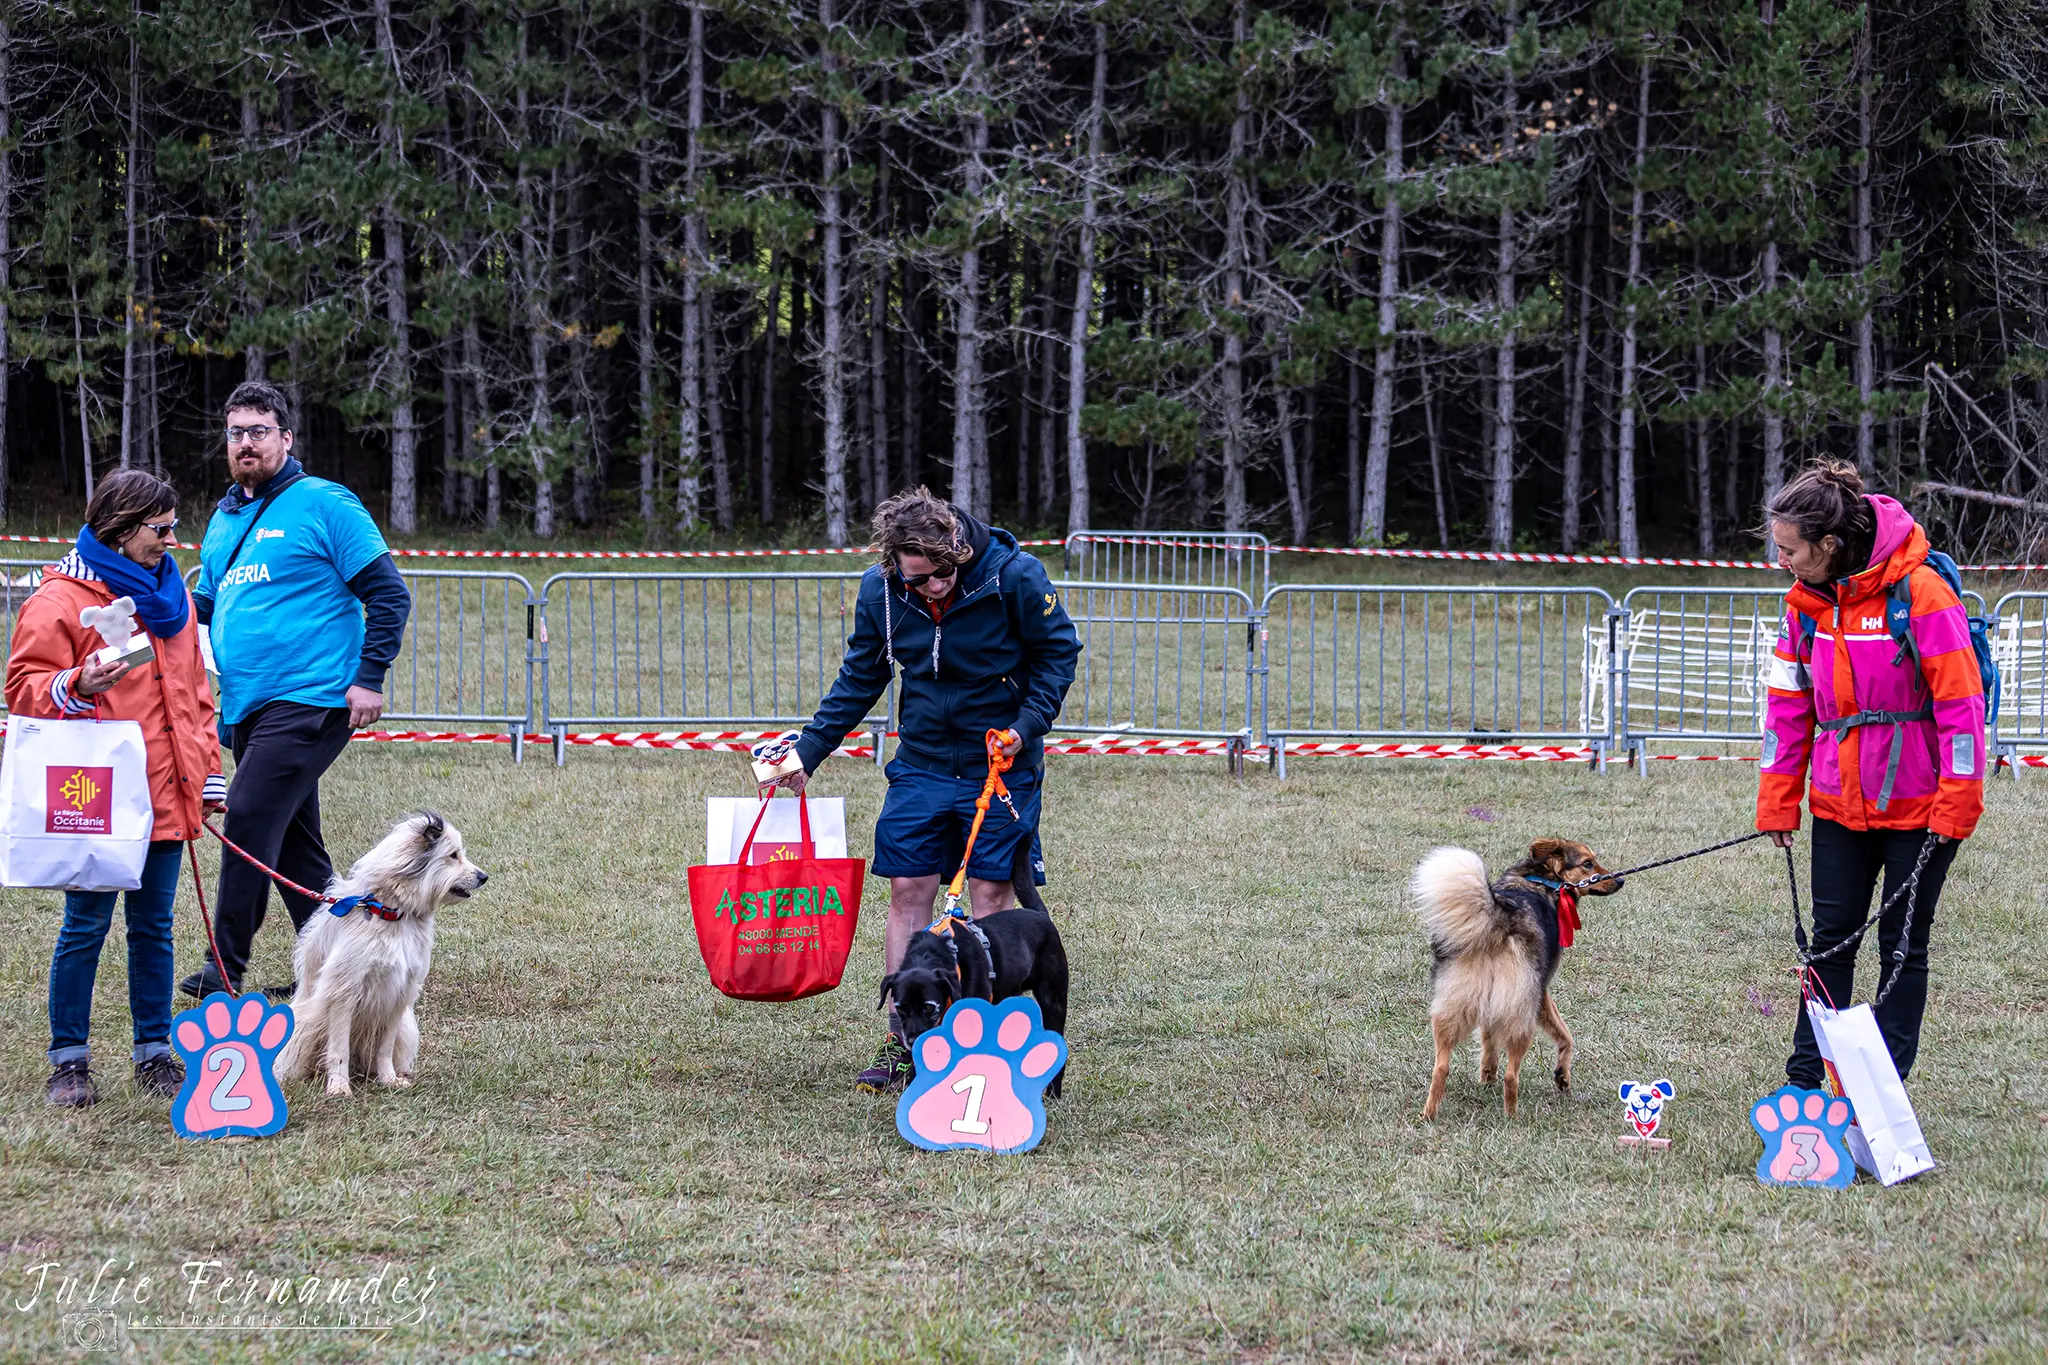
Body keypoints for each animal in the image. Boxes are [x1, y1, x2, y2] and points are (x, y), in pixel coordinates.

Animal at [274, 818, 485, 1096]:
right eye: (453, 855)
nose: (484, 877)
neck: (391, 911)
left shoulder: (400, 992)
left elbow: (384, 1047)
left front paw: (388, 1079)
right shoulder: (344, 990)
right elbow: (338, 1048)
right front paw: (339, 1087)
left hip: (406, 1026)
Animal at [1409, 843, 1613, 1121]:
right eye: (1588, 864)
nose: (1620, 880)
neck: (1540, 879)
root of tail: (1500, 920)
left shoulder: (1491, 1005)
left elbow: (1488, 1040)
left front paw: (1486, 1076)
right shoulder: (1541, 992)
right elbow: (1566, 1036)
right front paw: (1562, 1076)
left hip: (1452, 1008)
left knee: (1441, 1068)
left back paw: (1429, 1114)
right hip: (1521, 1017)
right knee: (1511, 1075)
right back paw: (1513, 1116)